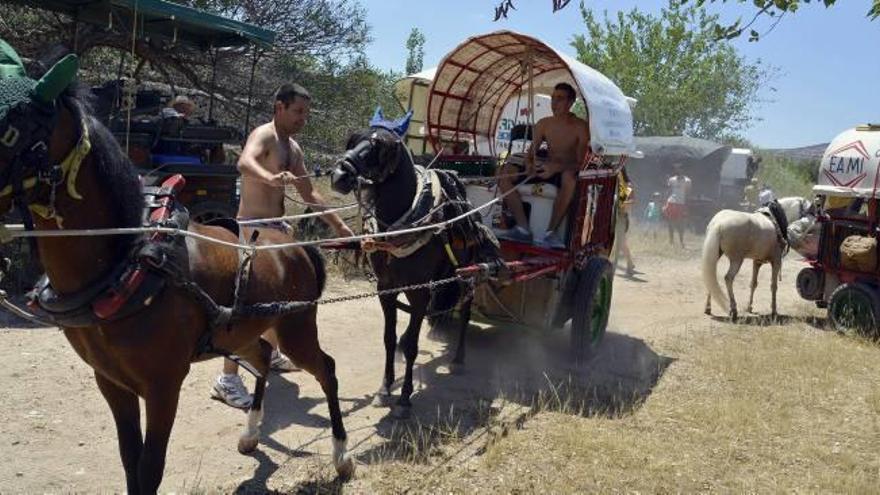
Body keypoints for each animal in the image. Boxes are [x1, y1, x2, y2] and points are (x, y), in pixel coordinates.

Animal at [0, 47, 350, 492]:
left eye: (14, 127)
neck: (129, 263)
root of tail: (298, 247)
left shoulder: (163, 386)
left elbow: (150, 468)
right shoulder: (111, 382)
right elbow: (130, 461)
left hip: (296, 328)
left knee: (326, 370)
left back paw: (341, 456)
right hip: (243, 330)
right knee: (263, 356)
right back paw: (251, 433)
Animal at [332, 128, 498, 418]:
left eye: (376, 147)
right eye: (354, 141)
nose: (339, 175)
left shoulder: (419, 292)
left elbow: (411, 346)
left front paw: (404, 398)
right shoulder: (386, 289)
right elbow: (388, 339)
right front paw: (385, 388)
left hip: (468, 276)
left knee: (465, 313)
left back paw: (458, 359)